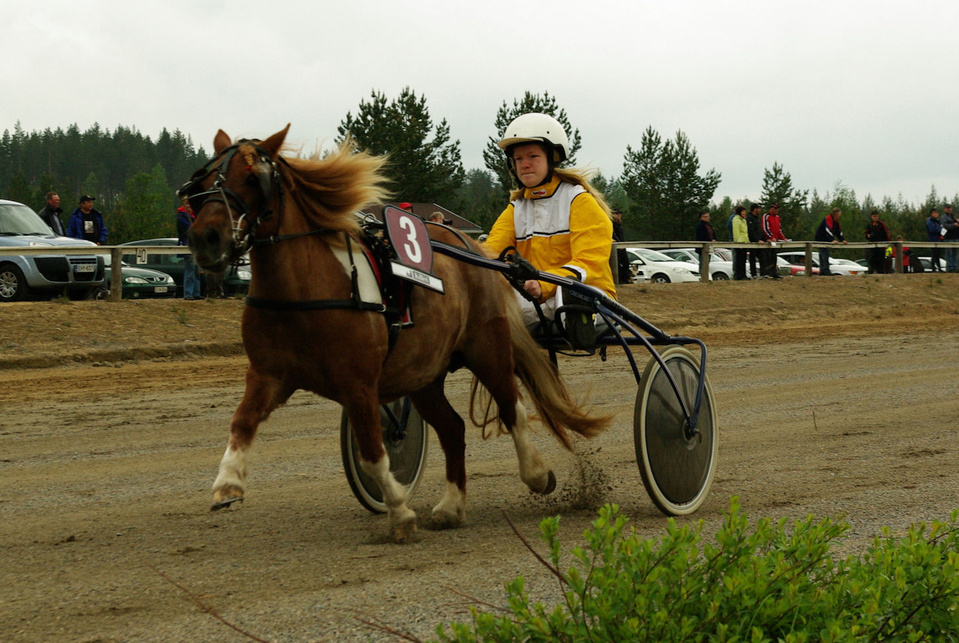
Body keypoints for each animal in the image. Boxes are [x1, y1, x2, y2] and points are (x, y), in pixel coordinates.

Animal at [182, 124, 609, 541]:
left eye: (253, 178)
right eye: (201, 181)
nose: (206, 239)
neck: (305, 290)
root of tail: (473, 249)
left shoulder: (357, 384)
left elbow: (373, 453)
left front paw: (400, 511)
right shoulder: (269, 374)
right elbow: (242, 421)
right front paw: (227, 484)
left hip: (486, 347)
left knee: (511, 407)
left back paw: (536, 474)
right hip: (421, 373)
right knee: (453, 428)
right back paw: (451, 506)